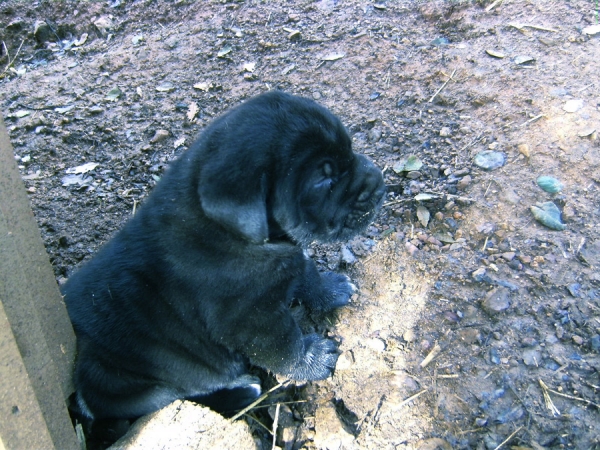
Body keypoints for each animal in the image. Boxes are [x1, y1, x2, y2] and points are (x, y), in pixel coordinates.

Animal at [62, 89, 384, 420]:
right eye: (324, 180)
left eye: (350, 150)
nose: (379, 183)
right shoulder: (252, 321)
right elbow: (285, 346)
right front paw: (314, 358)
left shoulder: (290, 257)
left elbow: (306, 272)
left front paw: (331, 288)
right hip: (131, 383)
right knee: (173, 400)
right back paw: (243, 391)